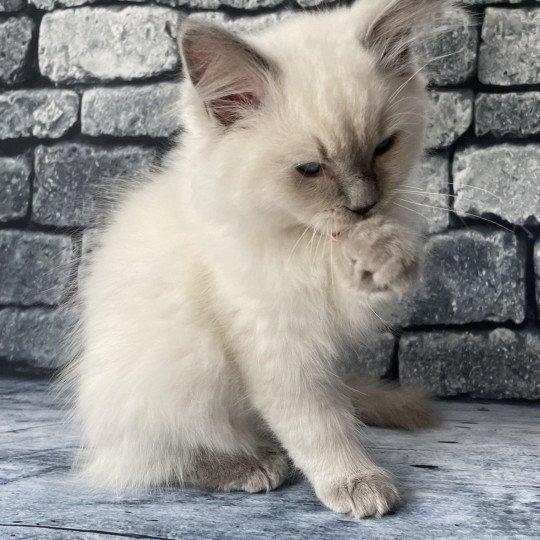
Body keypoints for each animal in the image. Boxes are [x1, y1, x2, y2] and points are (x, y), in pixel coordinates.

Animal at [65, 0, 458, 520]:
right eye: (310, 169)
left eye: (383, 147)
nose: (364, 204)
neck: (300, 240)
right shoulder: (274, 337)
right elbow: (317, 424)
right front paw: (356, 482)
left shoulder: (331, 308)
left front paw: (386, 255)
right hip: (178, 373)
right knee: (154, 459)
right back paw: (254, 465)